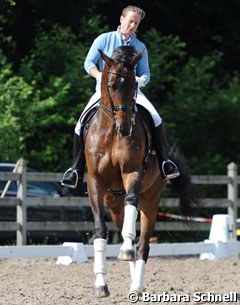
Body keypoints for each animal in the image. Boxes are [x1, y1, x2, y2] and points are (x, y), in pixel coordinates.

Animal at [84, 45, 199, 296]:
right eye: (111, 84)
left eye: (134, 85)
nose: (125, 127)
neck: (111, 132)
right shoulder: (95, 182)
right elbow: (100, 230)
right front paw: (100, 284)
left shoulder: (132, 173)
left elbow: (132, 202)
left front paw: (126, 253)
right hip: (113, 202)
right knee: (124, 227)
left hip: (151, 198)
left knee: (143, 243)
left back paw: (136, 284)